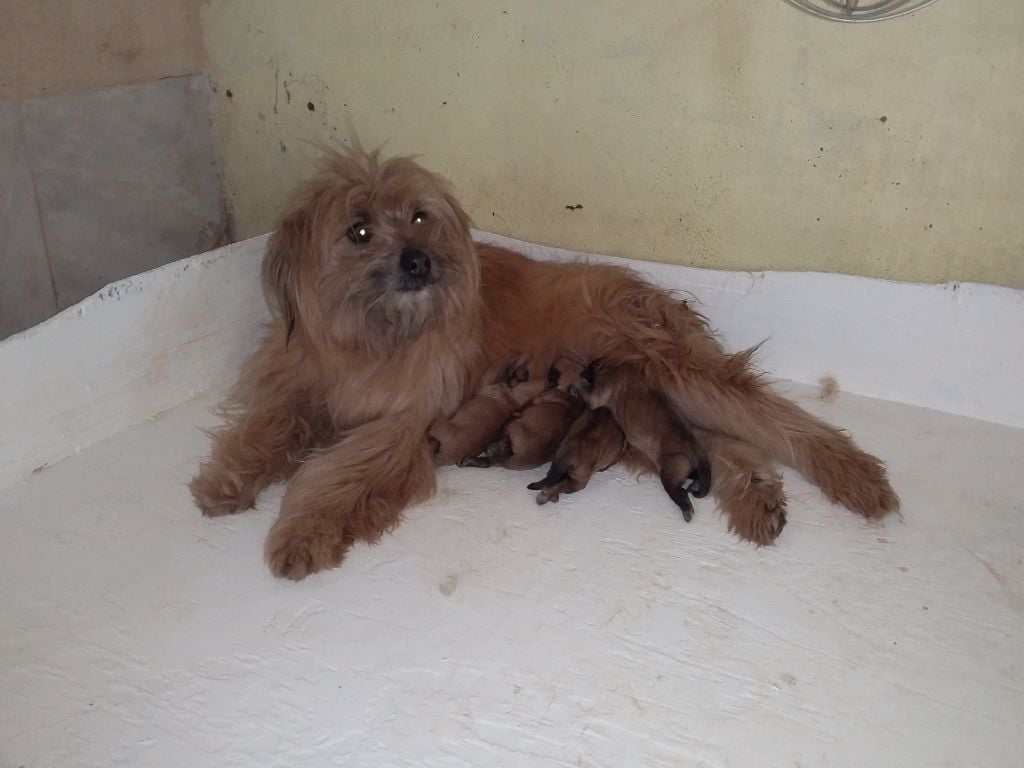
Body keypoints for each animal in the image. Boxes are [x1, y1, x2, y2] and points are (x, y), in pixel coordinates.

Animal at [577, 362, 712, 524]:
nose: (583, 370)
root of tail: (696, 452)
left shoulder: (596, 396)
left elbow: (584, 388)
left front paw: (577, 382)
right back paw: (694, 487)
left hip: (670, 473)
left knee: (681, 494)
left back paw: (687, 511)